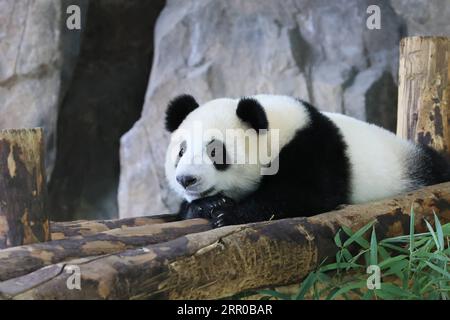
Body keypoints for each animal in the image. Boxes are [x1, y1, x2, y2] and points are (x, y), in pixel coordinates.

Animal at [164, 94, 450, 229]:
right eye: (181, 151)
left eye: (215, 152)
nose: (186, 179)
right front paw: (208, 205)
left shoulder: (314, 147)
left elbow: (303, 195)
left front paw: (228, 215)